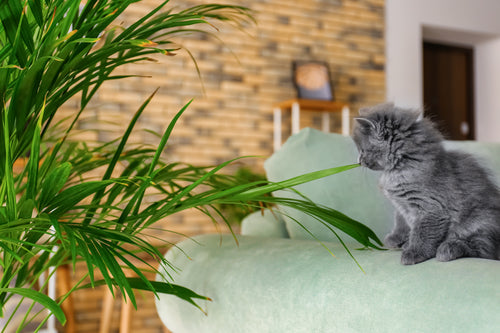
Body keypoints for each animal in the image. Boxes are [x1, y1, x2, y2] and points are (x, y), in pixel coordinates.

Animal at [352, 102, 500, 264]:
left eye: (362, 150)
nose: (359, 161)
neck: (398, 169)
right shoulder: (401, 207)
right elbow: (401, 222)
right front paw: (398, 239)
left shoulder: (431, 208)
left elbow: (423, 233)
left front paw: (413, 252)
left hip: (480, 222)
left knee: (483, 249)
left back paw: (448, 248)